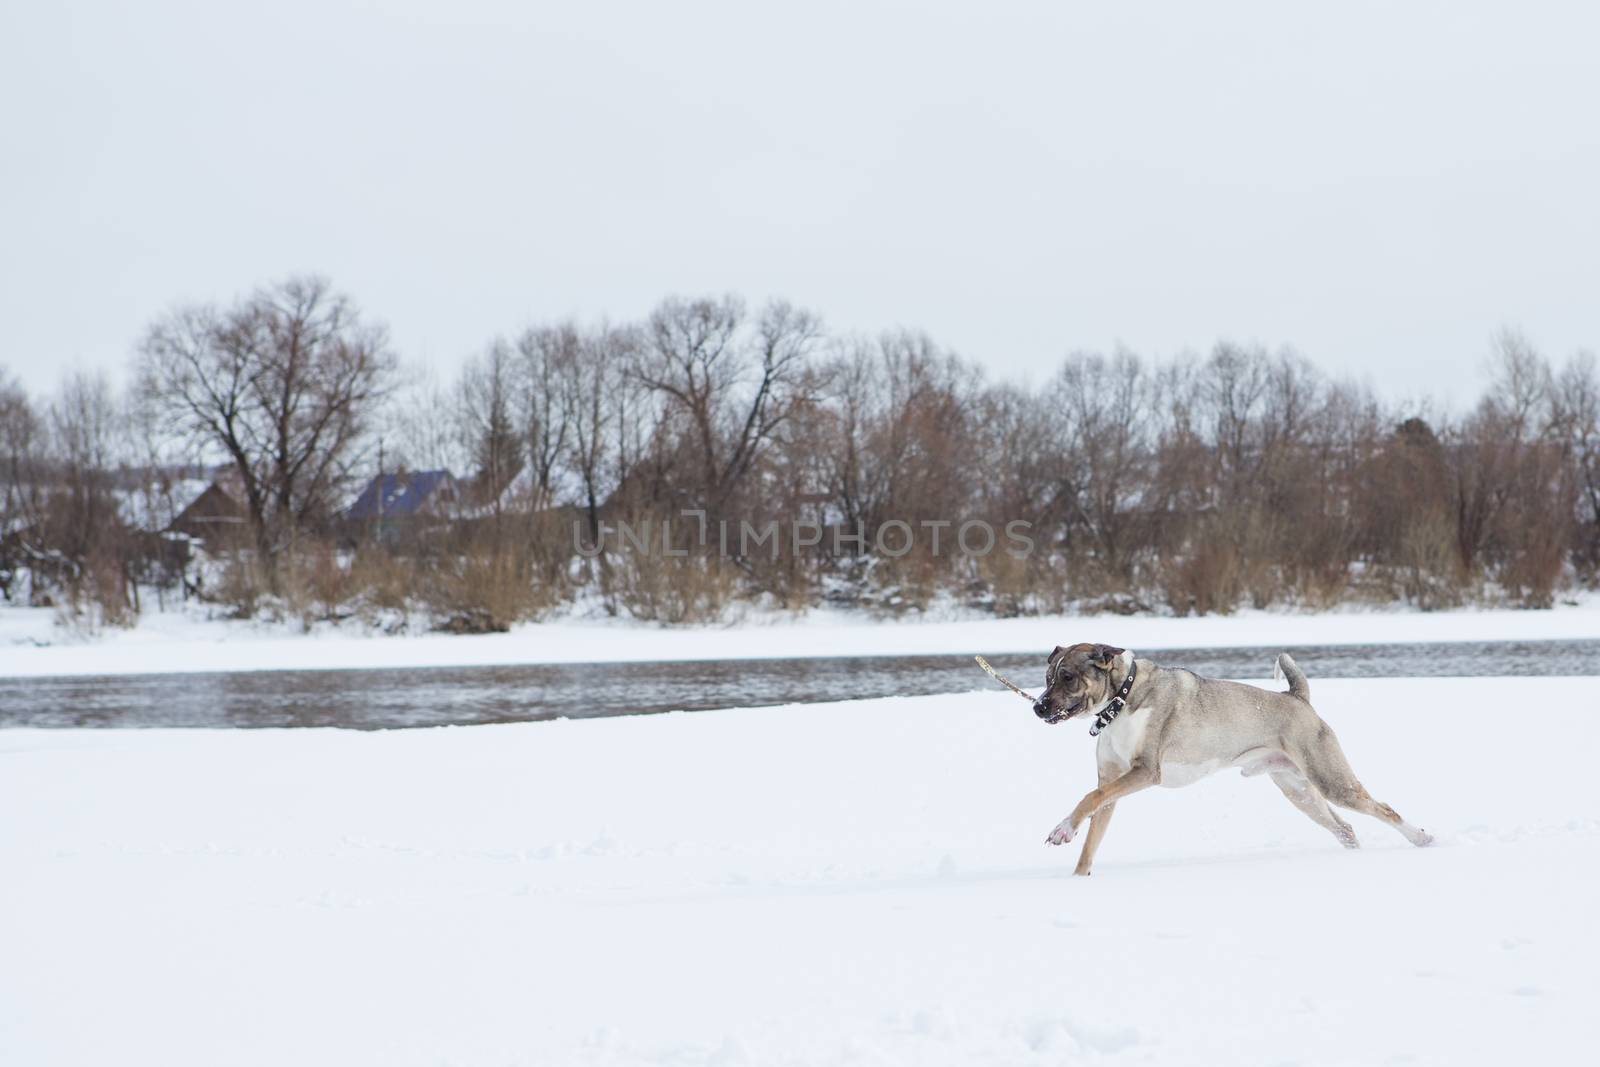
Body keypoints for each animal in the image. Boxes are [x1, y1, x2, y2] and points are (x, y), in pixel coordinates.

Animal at [1036, 643, 1440, 876]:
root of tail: (1297, 698)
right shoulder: (1112, 782)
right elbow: (1093, 827)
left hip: (1331, 780)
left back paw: (1422, 839)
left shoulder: (1146, 771)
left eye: (1067, 676)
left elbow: (1087, 798)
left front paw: (1061, 829)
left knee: (1383, 809)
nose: (1038, 707)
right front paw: (1077, 875)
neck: (1122, 697)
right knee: (1345, 828)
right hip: (1299, 790)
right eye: (1047, 676)